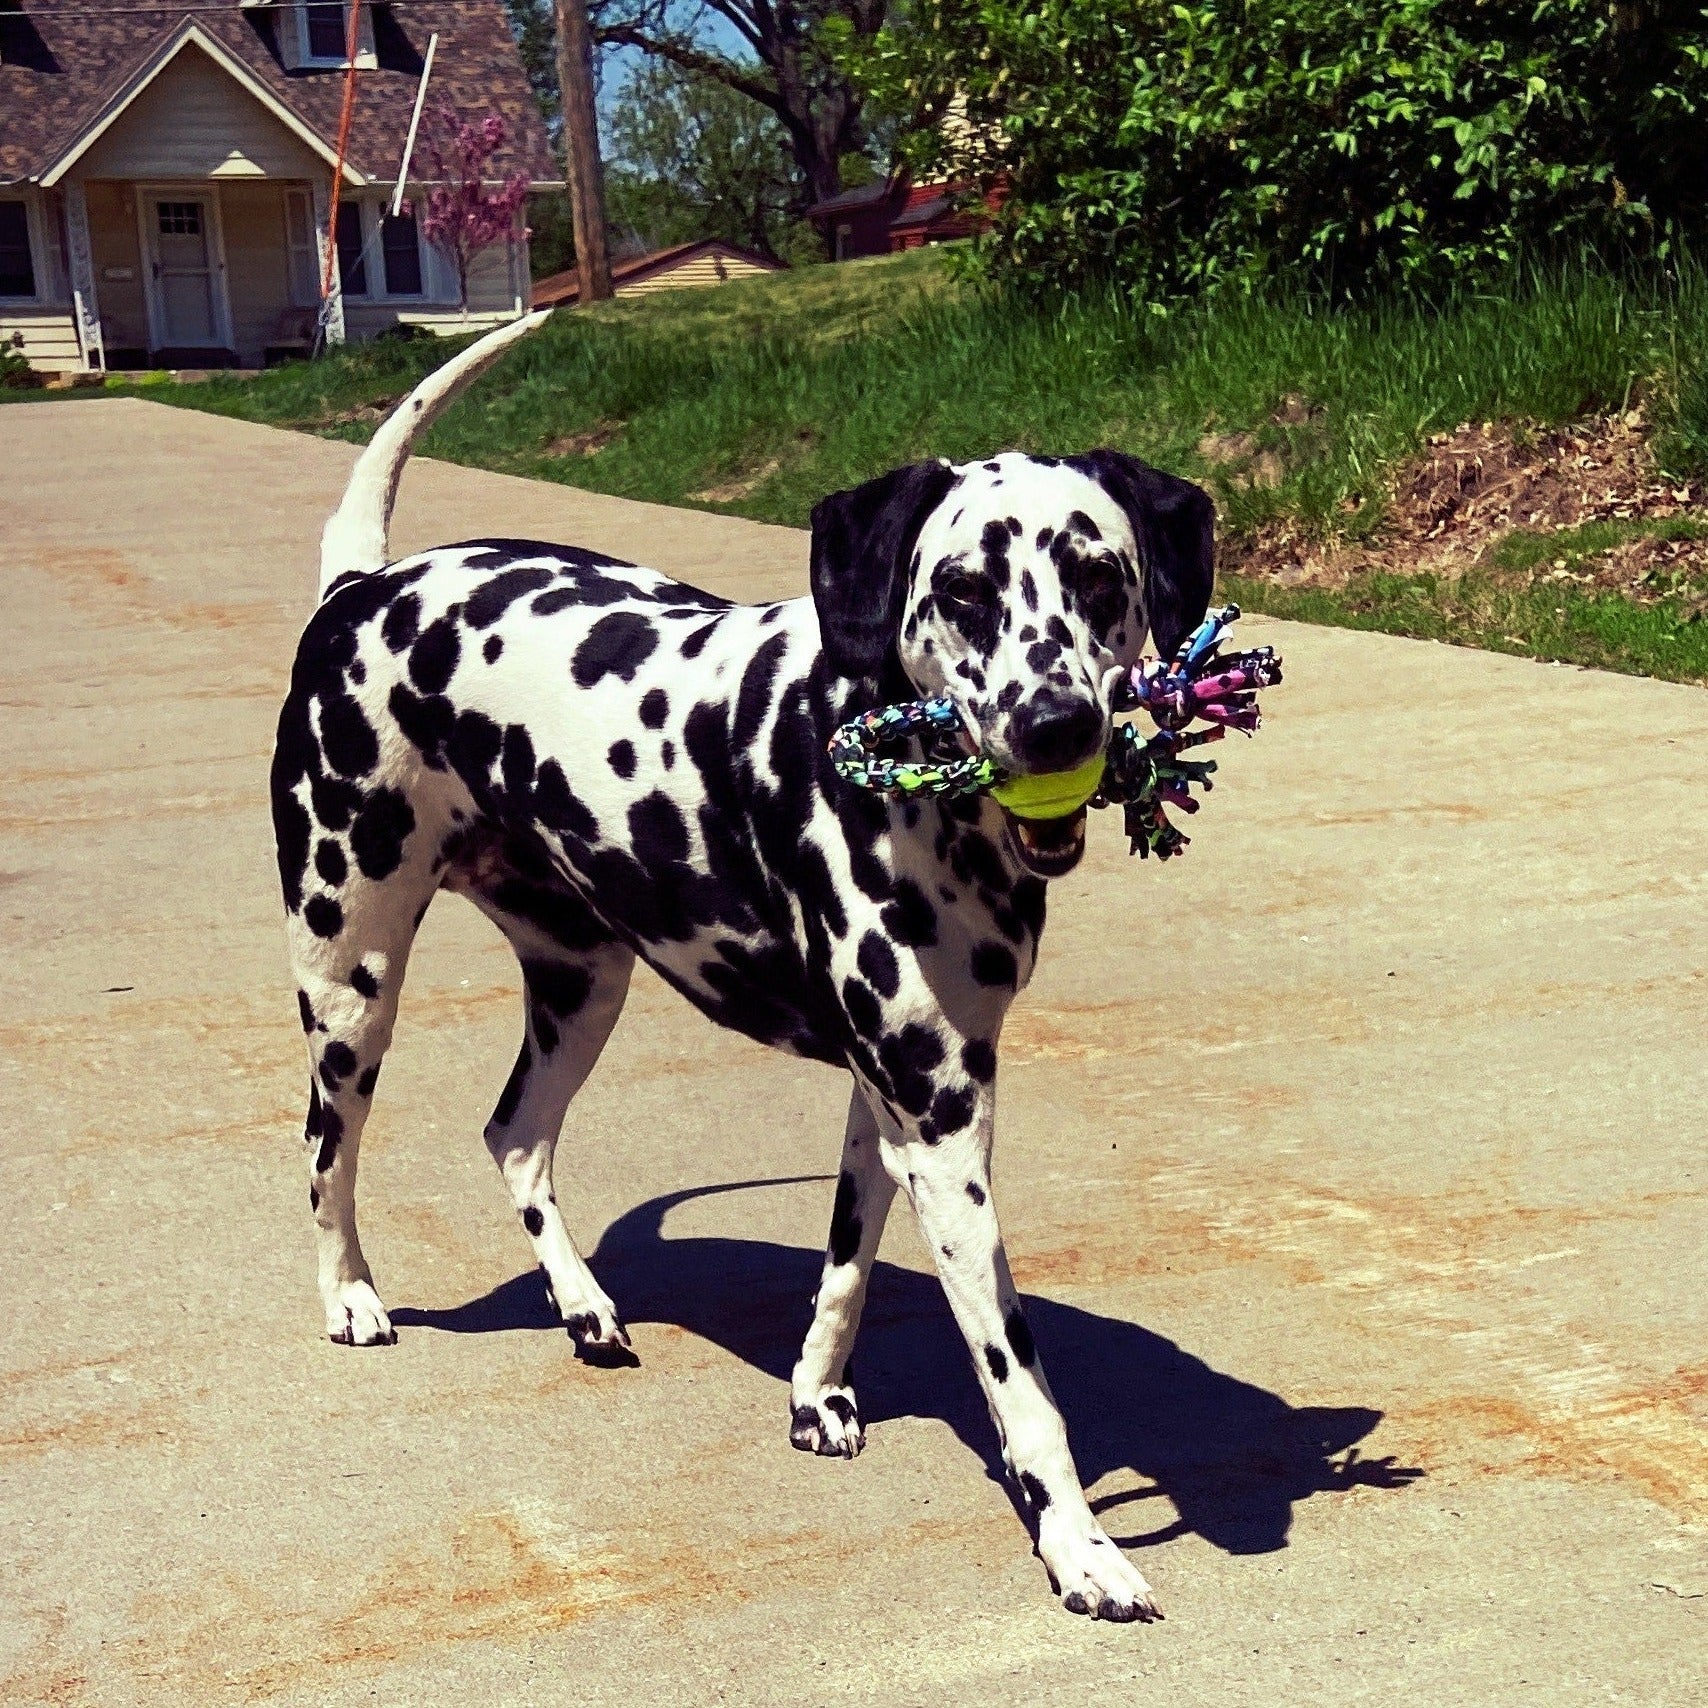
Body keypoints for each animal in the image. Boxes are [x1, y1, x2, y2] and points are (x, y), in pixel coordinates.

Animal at [276, 314, 1216, 1619]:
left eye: (1098, 578)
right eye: (962, 592)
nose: (1055, 728)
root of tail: (363, 588)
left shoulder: (896, 1103)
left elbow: (845, 1267)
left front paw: (816, 1393)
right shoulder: (944, 1130)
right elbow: (1019, 1382)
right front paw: (1079, 1546)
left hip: (583, 984)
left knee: (514, 1134)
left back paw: (584, 1305)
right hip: (351, 984)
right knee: (327, 1152)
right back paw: (353, 1297)